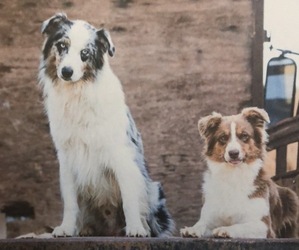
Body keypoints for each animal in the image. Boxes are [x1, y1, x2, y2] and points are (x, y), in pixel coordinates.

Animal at [38, 13, 175, 236]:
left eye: (85, 53)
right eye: (62, 45)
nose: (66, 71)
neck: (78, 95)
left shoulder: (122, 155)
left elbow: (129, 198)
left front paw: (136, 228)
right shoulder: (66, 157)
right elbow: (70, 201)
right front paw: (66, 228)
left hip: (154, 189)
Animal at [180, 107, 299, 238]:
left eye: (244, 136)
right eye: (223, 138)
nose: (233, 153)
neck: (234, 175)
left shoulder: (264, 226)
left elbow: (240, 226)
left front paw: (225, 229)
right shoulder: (210, 216)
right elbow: (202, 224)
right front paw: (192, 229)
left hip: (292, 197)